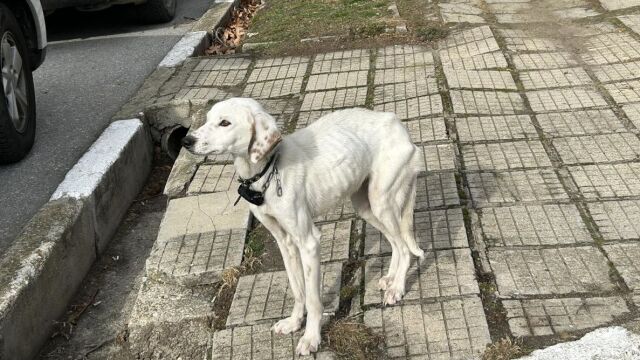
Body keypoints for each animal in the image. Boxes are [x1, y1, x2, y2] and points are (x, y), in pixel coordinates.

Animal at [181, 97, 424, 354]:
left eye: (225, 123)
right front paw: (294, 322)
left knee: (405, 248)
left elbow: (313, 299)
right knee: (396, 243)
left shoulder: (308, 242)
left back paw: (397, 288)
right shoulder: (285, 242)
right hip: (365, 206)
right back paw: (390, 278)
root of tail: (395, 121)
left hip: (381, 202)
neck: (268, 172)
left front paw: (311, 337)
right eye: (207, 119)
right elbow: (298, 290)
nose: (186, 141)